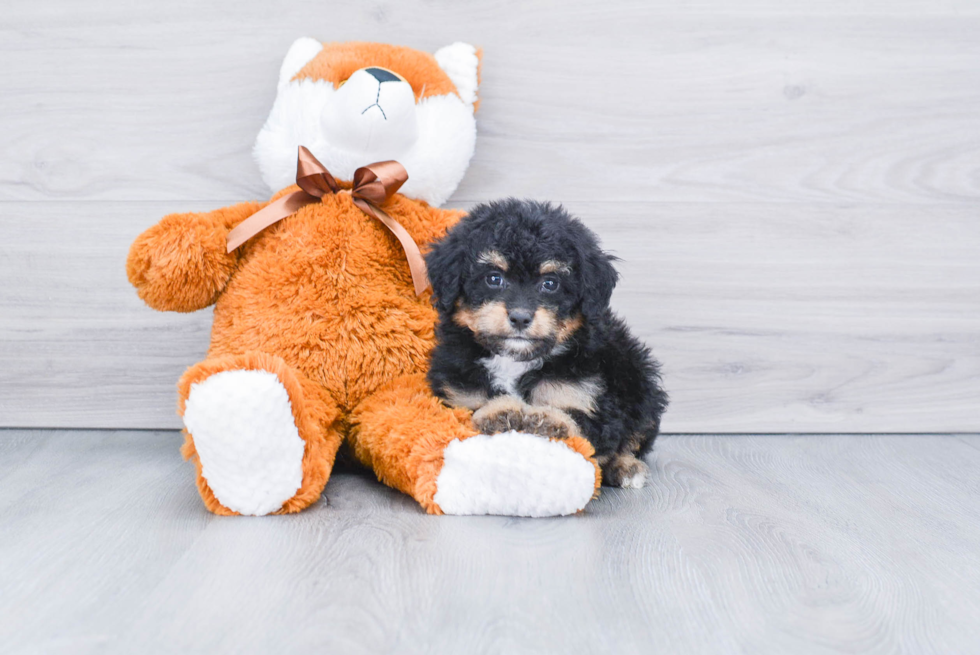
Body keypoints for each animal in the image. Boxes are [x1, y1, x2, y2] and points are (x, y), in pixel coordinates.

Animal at [424, 197, 668, 490]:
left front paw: (547, 420)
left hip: (639, 379)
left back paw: (627, 467)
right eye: (493, 278)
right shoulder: (456, 396)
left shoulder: (587, 397)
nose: (520, 317)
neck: (515, 360)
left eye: (550, 283)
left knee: (636, 435)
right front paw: (501, 412)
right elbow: (471, 410)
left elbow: (580, 423)